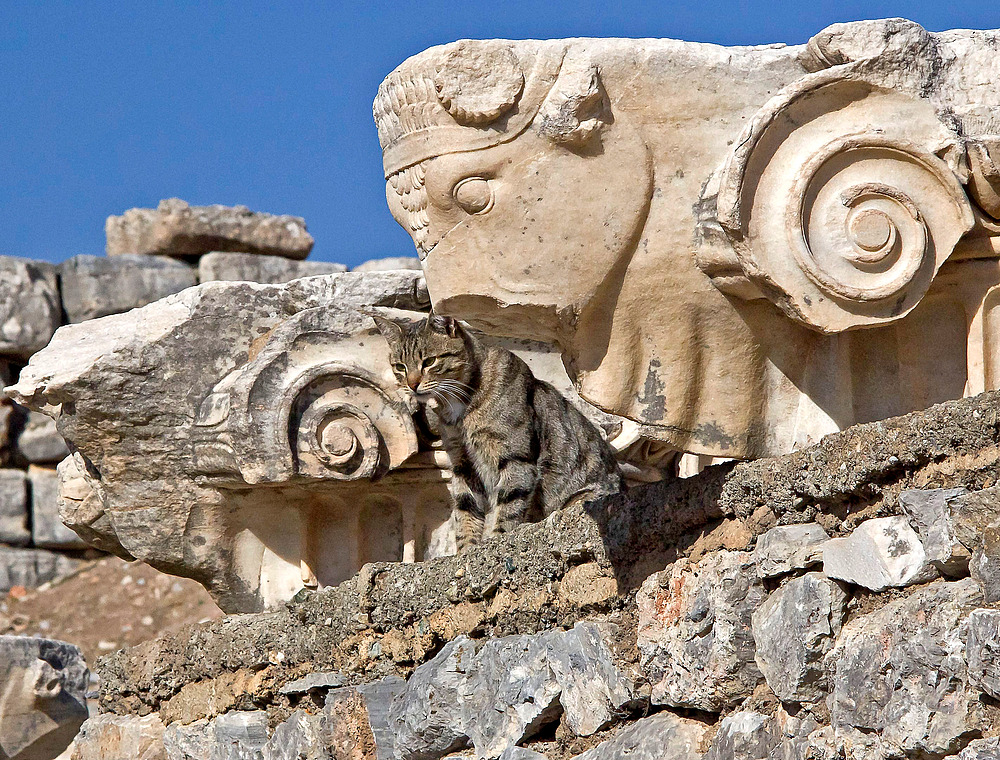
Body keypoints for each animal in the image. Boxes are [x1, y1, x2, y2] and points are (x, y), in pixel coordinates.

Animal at [368, 310, 624, 552]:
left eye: (429, 361)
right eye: (400, 366)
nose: (411, 385)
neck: (460, 405)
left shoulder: (515, 457)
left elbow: (510, 505)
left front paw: (497, 540)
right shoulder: (462, 461)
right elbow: (465, 508)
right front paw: (466, 551)